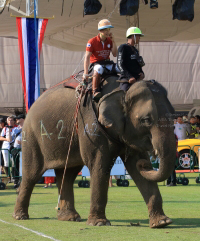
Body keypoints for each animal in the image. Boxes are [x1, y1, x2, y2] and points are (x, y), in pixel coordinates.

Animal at [13, 76, 175, 229]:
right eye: (146, 120)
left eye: (174, 116)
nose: (146, 164)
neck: (122, 89)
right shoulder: (91, 126)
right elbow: (100, 165)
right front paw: (99, 223)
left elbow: (135, 166)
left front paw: (162, 222)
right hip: (31, 137)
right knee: (32, 174)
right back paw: (20, 216)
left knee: (68, 174)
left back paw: (70, 218)